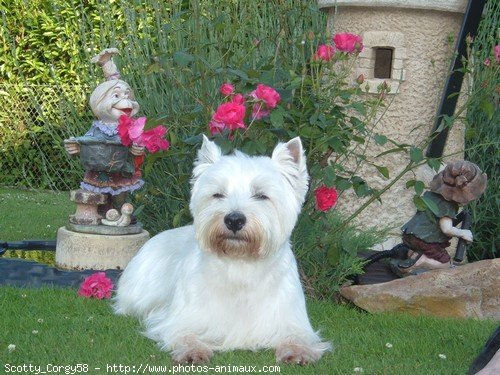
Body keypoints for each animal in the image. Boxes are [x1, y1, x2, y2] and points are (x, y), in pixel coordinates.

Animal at [114, 137, 332, 366]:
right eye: (217, 194)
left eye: (261, 195)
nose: (234, 220)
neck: (241, 264)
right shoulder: (181, 319)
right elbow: (185, 333)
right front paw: (193, 351)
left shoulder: (291, 320)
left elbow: (297, 336)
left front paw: (298, 351)